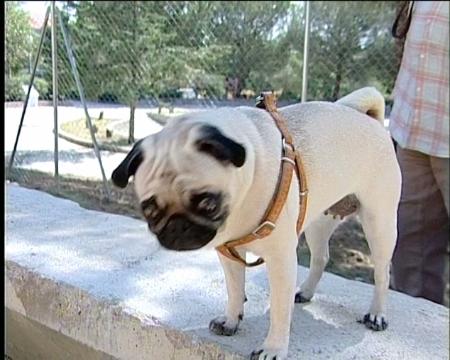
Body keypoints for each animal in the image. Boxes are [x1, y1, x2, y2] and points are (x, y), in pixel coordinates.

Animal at [111, 88, 400, 360]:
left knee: (382, 272)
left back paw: (376, 314)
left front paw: (273, 349)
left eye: (208, 203)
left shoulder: (280, 260)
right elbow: (235, 289)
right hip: (319, 222)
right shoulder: (229, 254)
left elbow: (280, 311)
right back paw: (306, 292)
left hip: (379, 222)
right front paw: (231, 320)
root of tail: (371, 120)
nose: (177, 227)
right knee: (321, 258)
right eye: (149, 210)